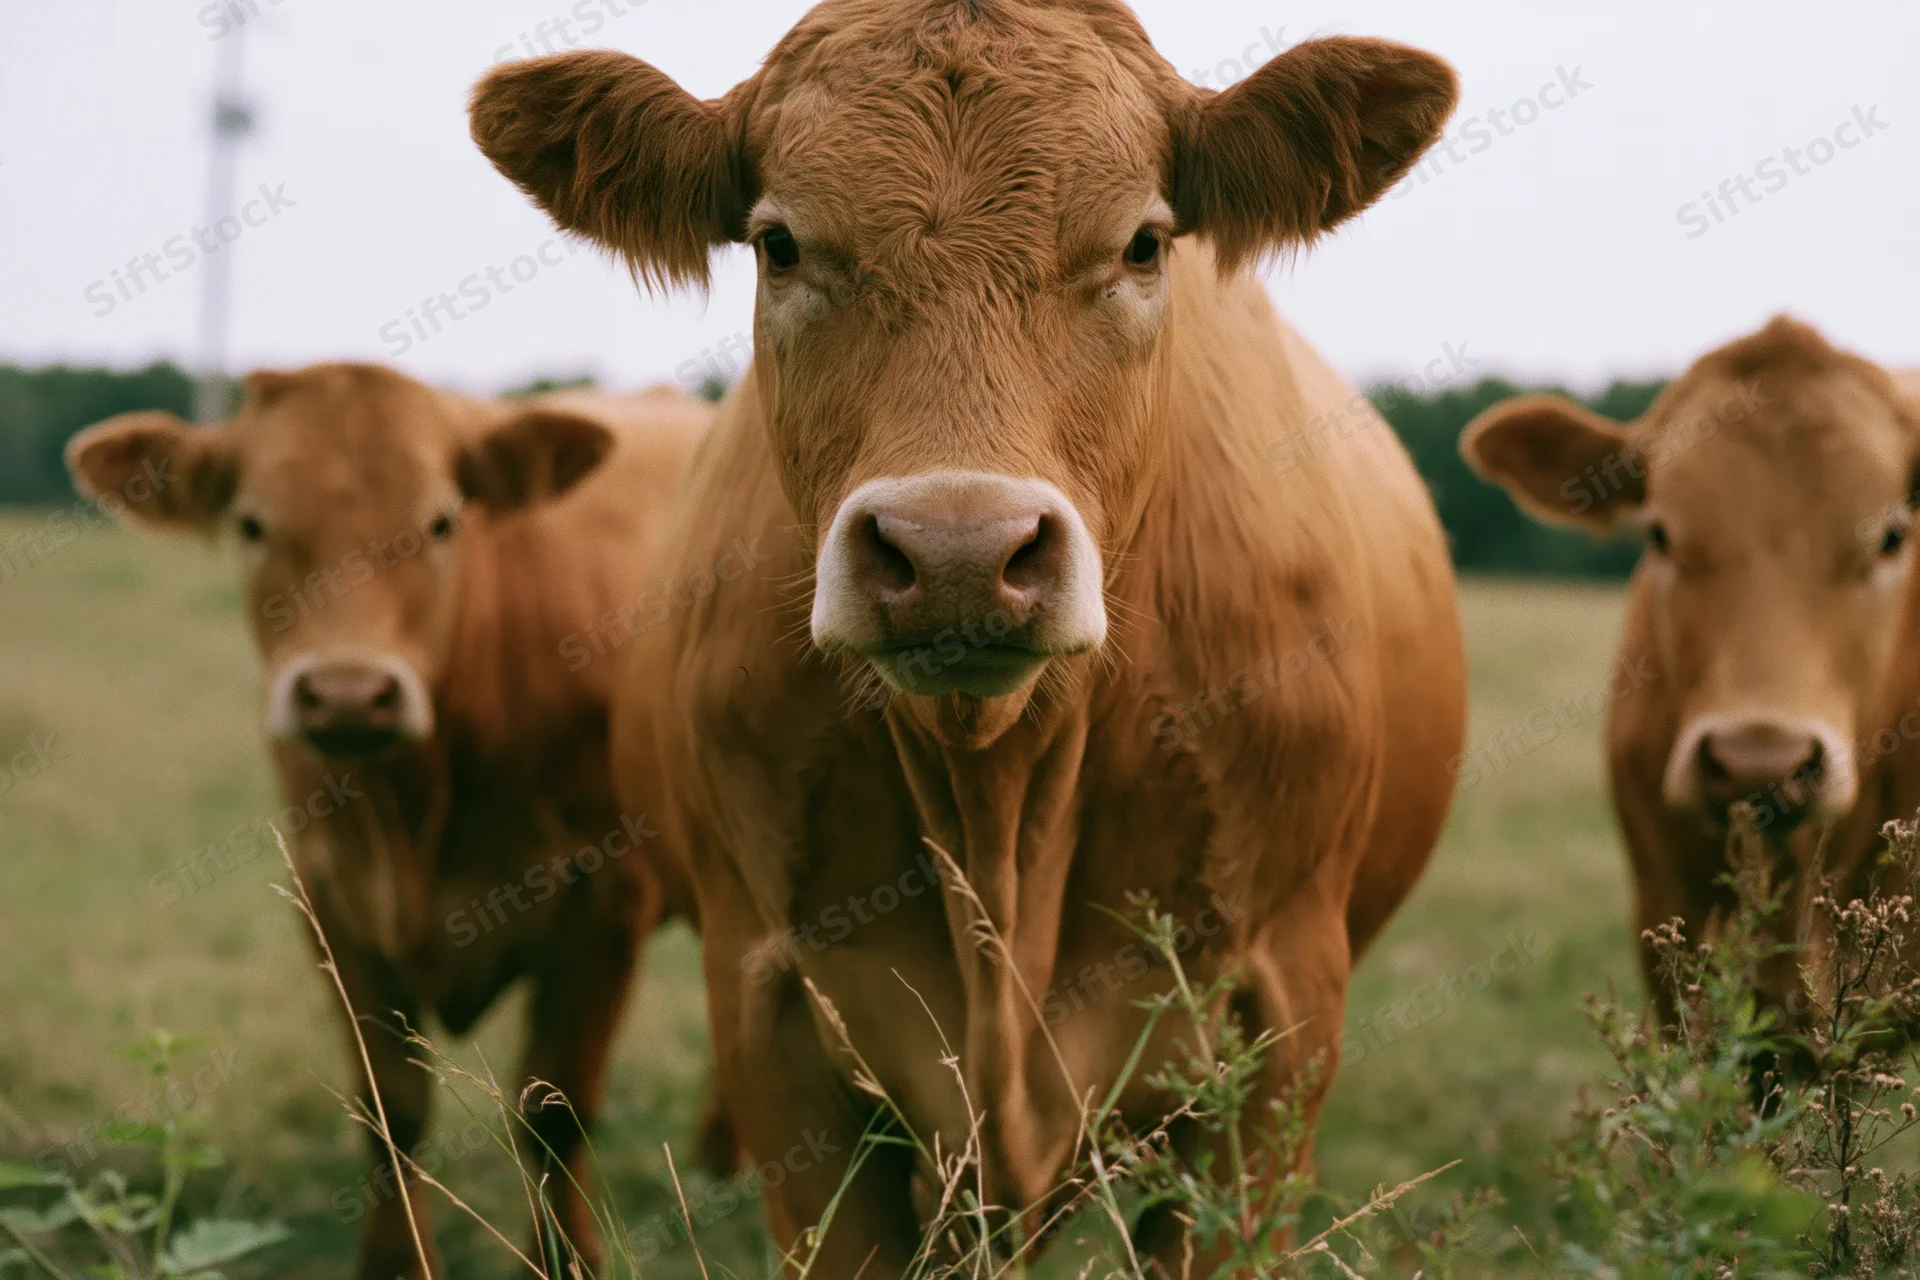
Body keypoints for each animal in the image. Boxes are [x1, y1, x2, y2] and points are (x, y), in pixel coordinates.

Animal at [65, 365, 714, 1279]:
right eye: (252, 524)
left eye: (440, 523)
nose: (346, 695)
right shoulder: (331, 899)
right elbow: (392, 1111)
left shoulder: (608, 899)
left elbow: (554, 1112)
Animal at [471, 2, 1467, 1273]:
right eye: (779, 245)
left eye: (1144, 244)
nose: (956, 549)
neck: (998, 800)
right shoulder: (771, 1012)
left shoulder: (1281, 1015)